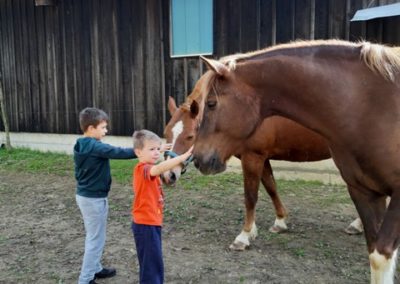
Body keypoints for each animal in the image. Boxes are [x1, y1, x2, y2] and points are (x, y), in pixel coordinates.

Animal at [190, 40, 400, 284]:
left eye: (211, 104)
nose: (198, 159)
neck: (369, 105)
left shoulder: (254, 156)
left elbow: (251, 196)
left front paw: (244, 236)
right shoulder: (363, 190)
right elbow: (270, 188)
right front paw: (278, 222)